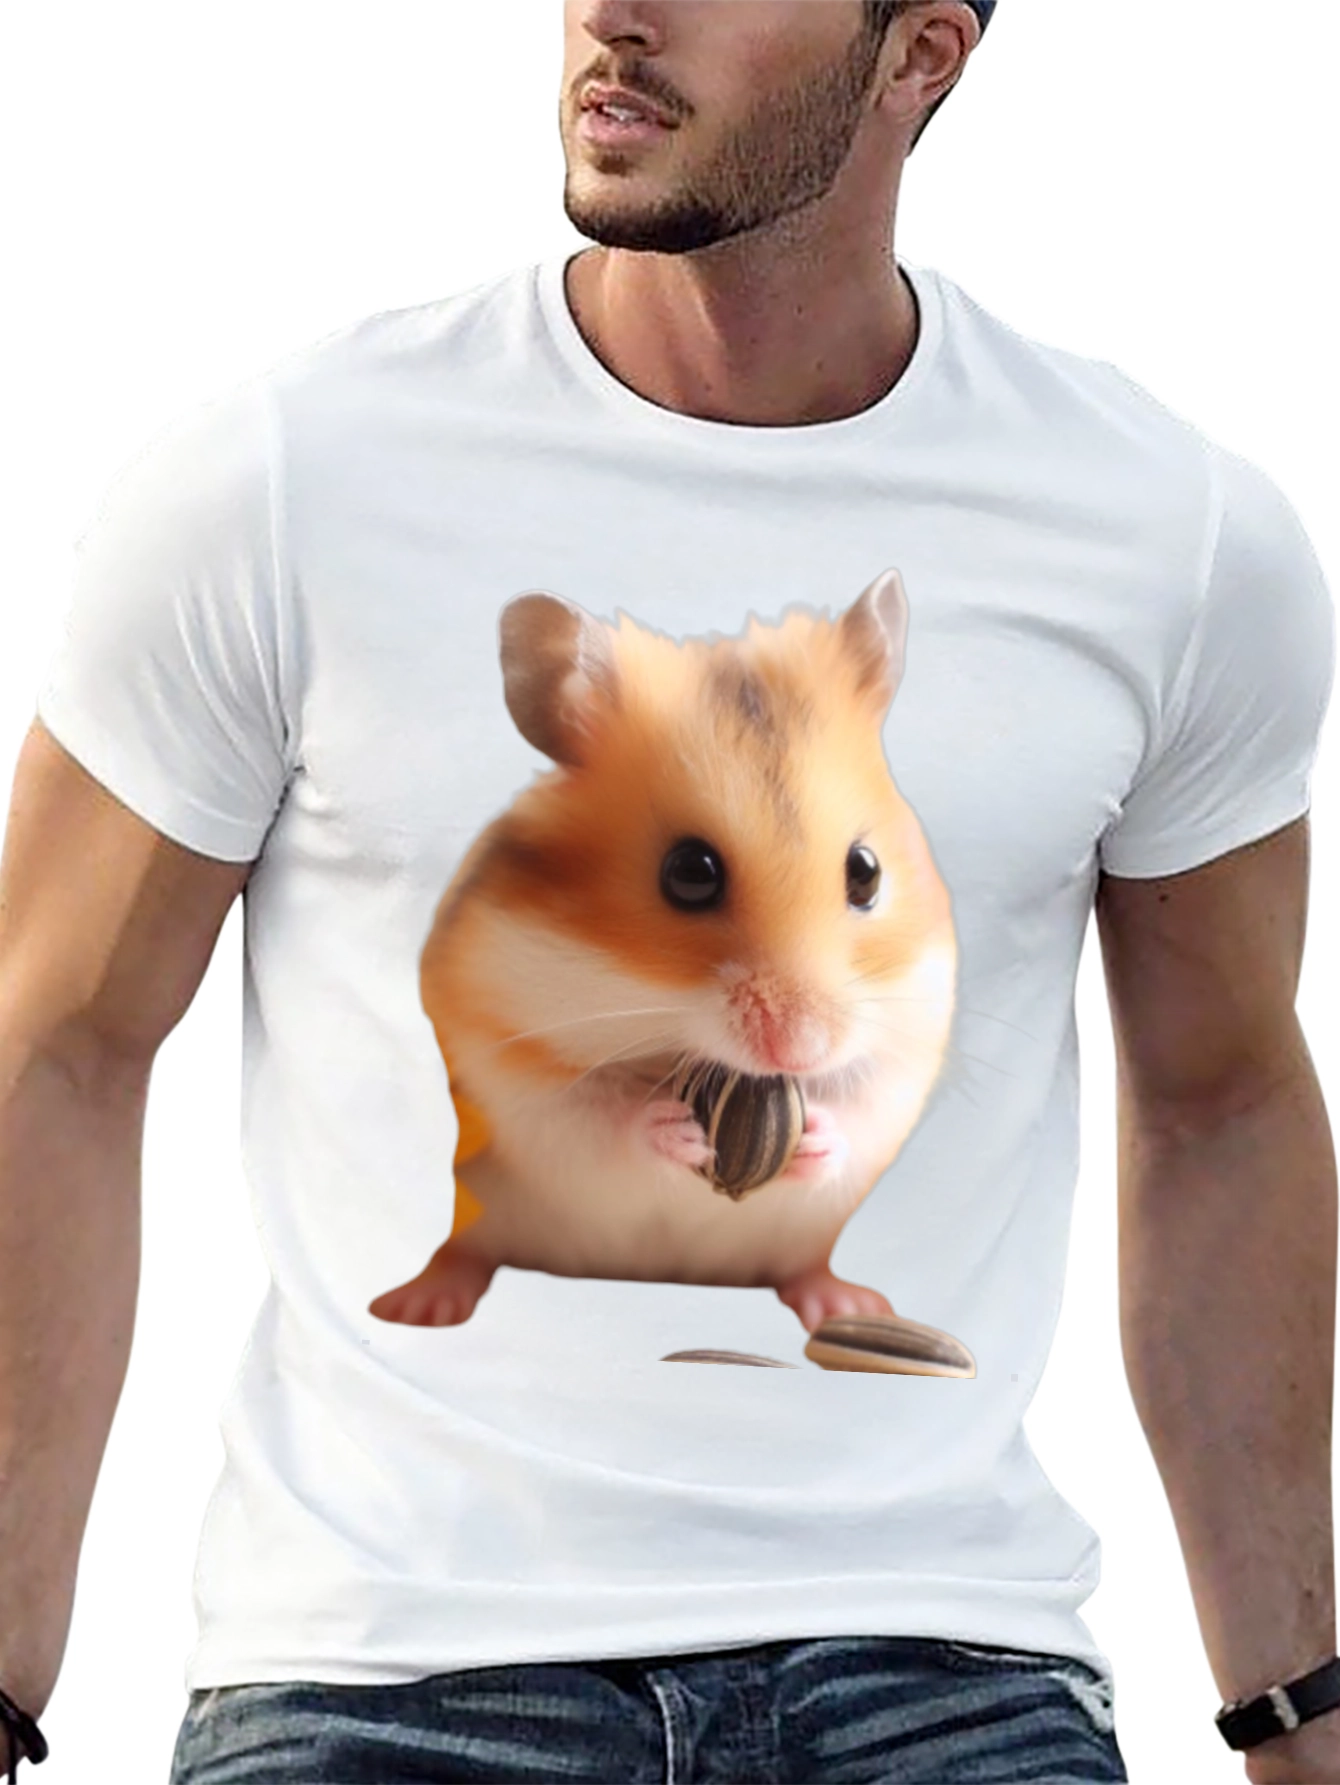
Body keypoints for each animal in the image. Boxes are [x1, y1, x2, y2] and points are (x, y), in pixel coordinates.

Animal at [367, 569, 959, 1343]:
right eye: (690, 873)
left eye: (866, 872)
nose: (798, 1050)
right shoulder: (503, 1063)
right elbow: (594, 1119)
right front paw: (675, 1132)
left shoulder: (907, 1043)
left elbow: (860, 1108)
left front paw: (814, 1137)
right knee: (463, 1251)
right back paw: (414, 1306)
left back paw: (851, 1307)